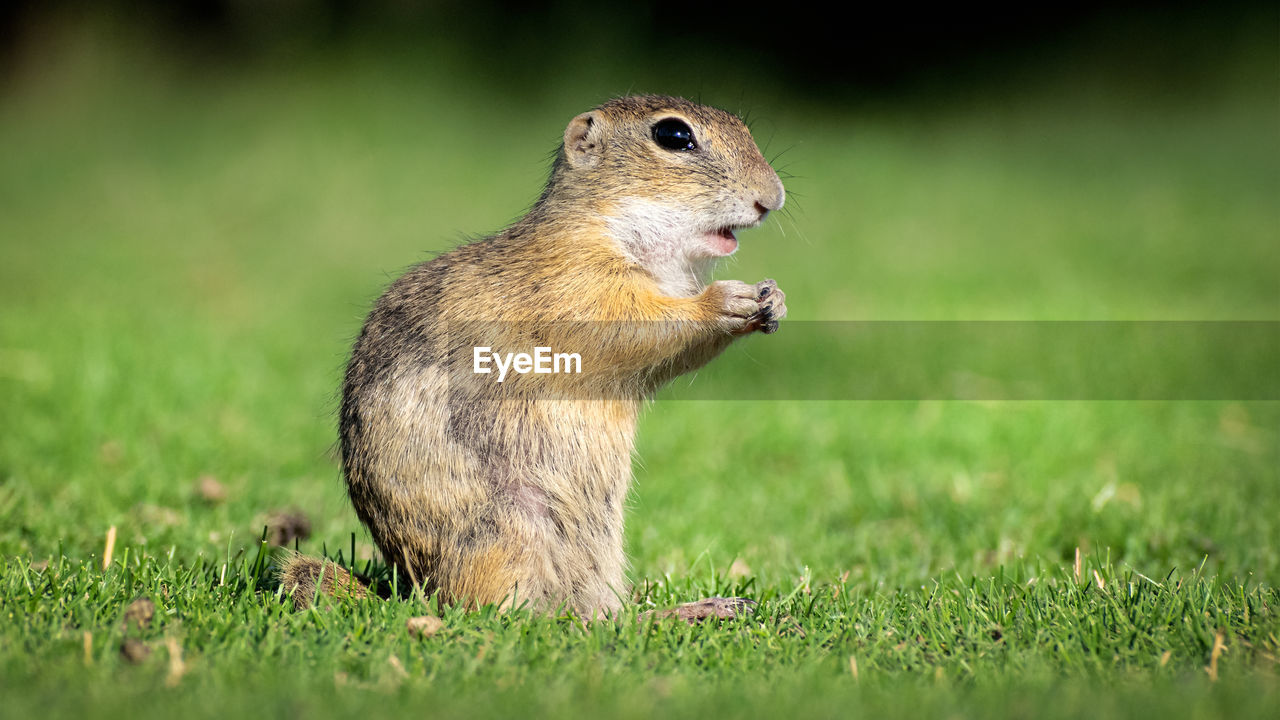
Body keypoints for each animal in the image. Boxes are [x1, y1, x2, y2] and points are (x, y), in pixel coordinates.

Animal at [285, 94, 788, 617]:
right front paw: (726, 300)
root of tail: (425, 594)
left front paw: (774, 300)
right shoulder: (581, 289)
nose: (772, 197)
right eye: (673, 135)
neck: (607, 228)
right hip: (513, 534)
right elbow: (638, 327)